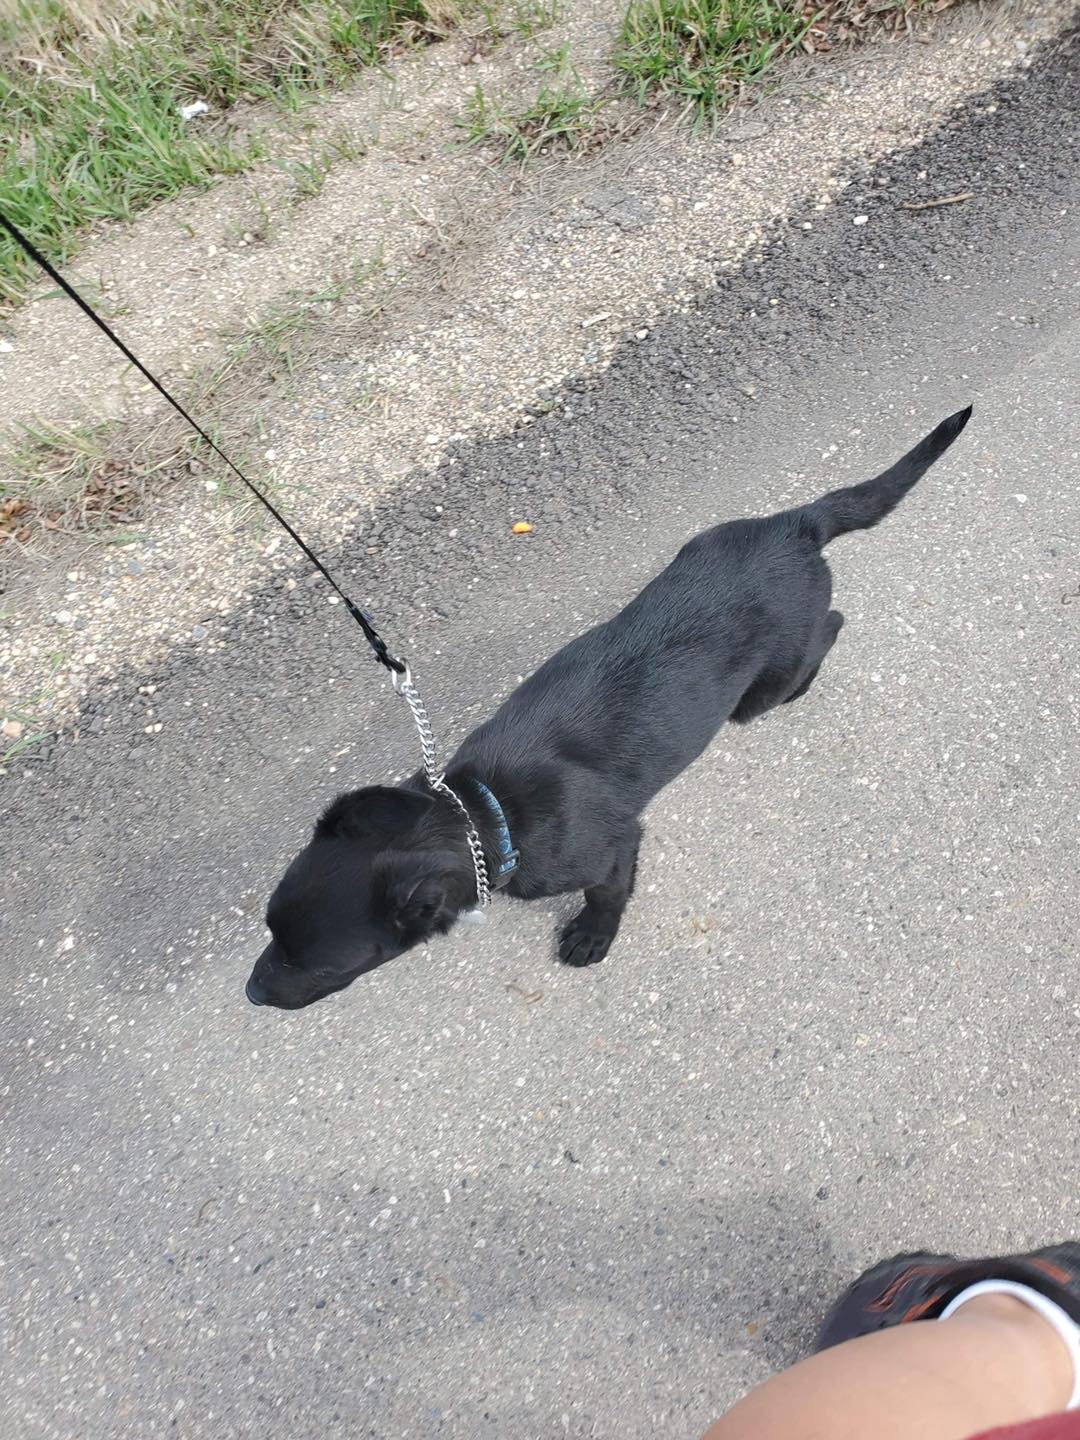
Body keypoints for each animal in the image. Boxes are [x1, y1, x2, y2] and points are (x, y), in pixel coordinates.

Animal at [246, 406, 971, 1009]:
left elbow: (608, 892)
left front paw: (592, 936)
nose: (251, 993)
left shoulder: (616, 846)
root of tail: (797, 524)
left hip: (777, 670)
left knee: (832, 628)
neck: (482, 815)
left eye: (317, 965)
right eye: (269, 930)